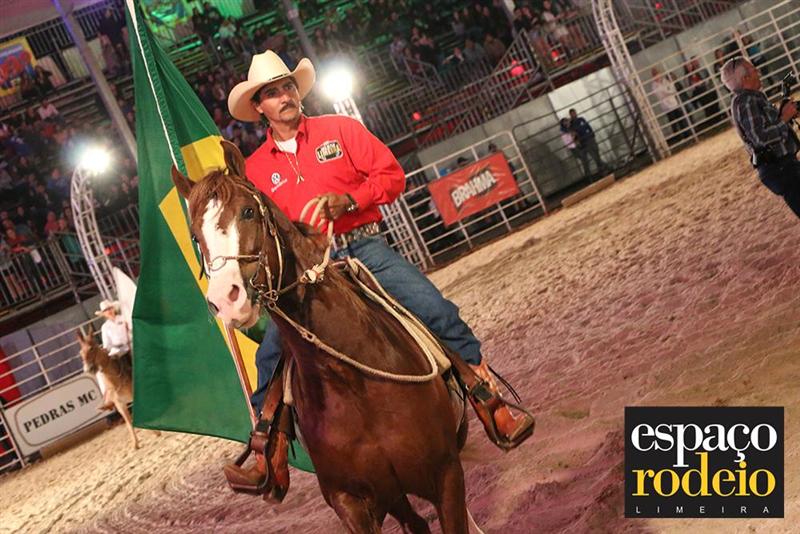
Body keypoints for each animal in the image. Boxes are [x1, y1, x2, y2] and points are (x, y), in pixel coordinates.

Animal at [172, 140, 471, 533]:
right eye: (195, 236)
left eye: (249, 212)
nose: (225, 300)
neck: (350, 379)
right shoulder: (349, 501)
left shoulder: (446, 475)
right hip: (394, 497)